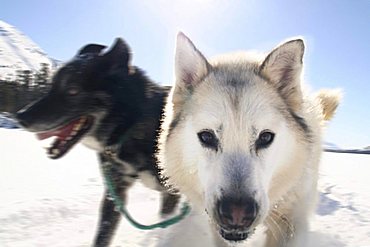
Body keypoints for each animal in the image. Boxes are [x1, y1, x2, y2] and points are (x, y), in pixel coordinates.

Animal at [16, 38, 178, 247]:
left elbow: (166, 223)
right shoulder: (114, 193)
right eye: (51, 86)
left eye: (72, 90)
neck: (130, 125)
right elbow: (103, 234)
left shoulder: (172, 192)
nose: (21, 117)